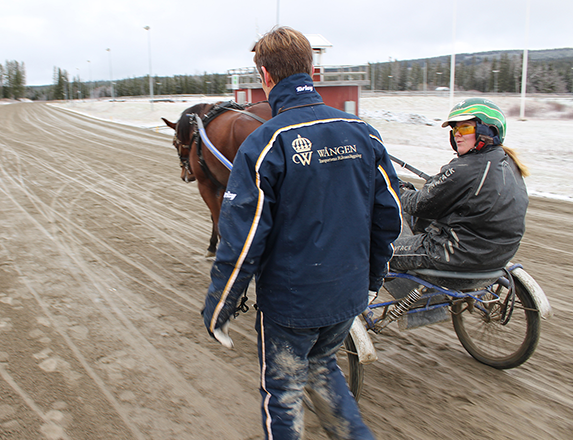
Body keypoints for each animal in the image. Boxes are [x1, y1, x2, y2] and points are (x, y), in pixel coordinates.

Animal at [162, 100, 272, 254]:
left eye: (174, 143)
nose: (185, 175)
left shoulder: (206, 185)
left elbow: (216, 216)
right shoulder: (224, 186)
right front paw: (213, 244)